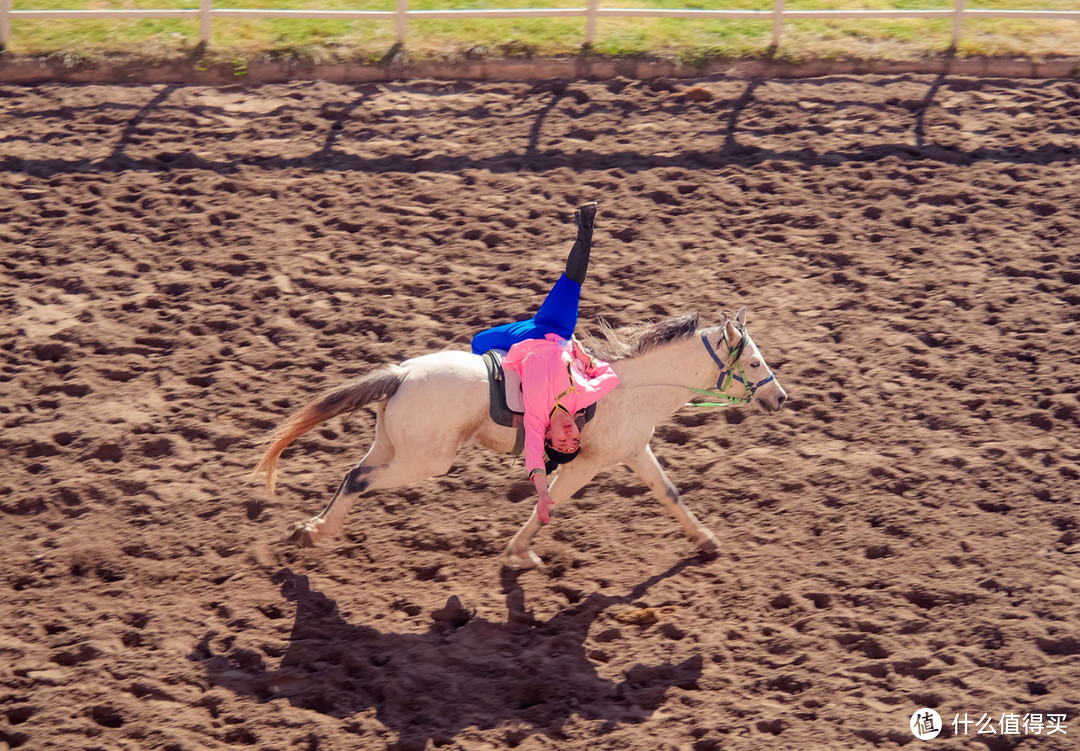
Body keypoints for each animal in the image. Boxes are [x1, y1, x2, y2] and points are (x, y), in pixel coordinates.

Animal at [257, 306, 790, 570]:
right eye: (754, 362)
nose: (780, 397)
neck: (631, 387)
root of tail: (402, 373)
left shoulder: (635, 451)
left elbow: (670, 493)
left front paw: (706, 541)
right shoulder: (586, 464)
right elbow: (548, 503)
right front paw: (518, 552)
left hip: (390, 446)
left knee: (352, 474)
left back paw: (309, 529)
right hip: (423, 461)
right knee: (359, 481)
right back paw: (312, 533)